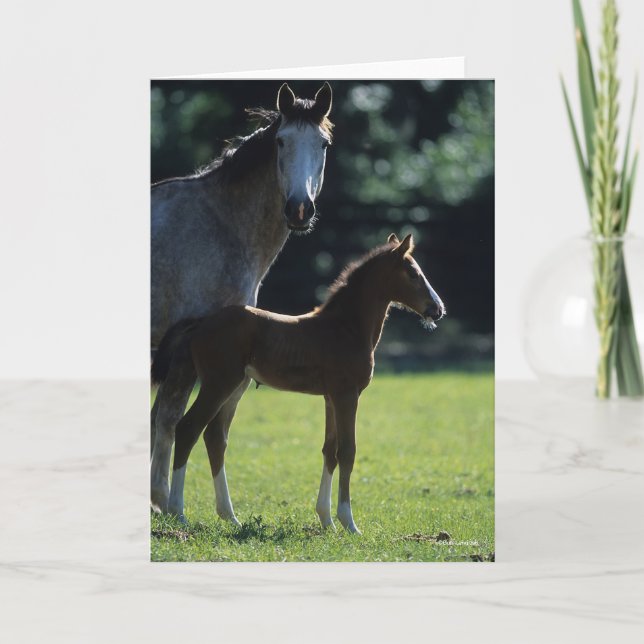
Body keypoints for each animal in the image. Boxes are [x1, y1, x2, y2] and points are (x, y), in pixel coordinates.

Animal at [150, 82, 334, 515]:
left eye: (323, 144)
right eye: (282, 141)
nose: (299, 208)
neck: (219, 225)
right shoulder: (184, 354)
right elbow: (169, 420)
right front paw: (164, 501)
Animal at [151, 233, 445, 534]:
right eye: (413, 273)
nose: (438, 309)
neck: (346, 328)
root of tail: (201, 322)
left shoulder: (330, 397)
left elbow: (330, 451)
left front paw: (327, 520)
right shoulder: (347, 395)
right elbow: (347, 451)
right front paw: (348, 522)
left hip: (234, 386)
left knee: (214, 437)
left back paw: (229, 515)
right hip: (218, 384)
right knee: (188, 429)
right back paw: (177, 511)